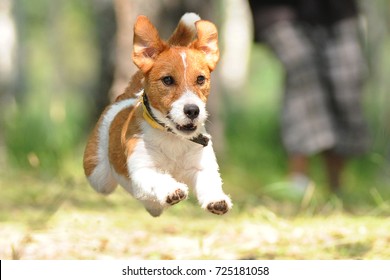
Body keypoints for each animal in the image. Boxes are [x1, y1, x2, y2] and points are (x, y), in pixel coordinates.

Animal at [82, 13, 232, 218]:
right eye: (167, 80)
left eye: (200, 79)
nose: (193, 110)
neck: (172, 137)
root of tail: (127, 96)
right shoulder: (143, 168)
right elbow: (158, 178)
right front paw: (172, 190)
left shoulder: (202, 165)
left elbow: (210, 181)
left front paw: (217, 199)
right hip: (98, 176)